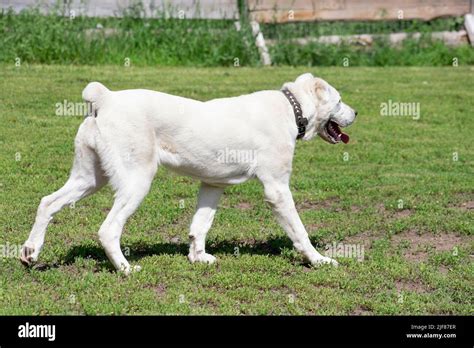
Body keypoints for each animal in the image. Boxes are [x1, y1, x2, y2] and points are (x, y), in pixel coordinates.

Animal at [21, 74, 356, 274]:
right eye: (339, 101)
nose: (356, 113)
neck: (292, 109)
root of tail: (107, 97)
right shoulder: (277, 189)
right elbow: (300, 231)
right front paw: (319, 260)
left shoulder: (212, 184)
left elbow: (200, 225)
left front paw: (198, 258)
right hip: (136, 182)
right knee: (108, 229)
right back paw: (125, 269)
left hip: (89, 178)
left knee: (48, 203)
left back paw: (30, 252)